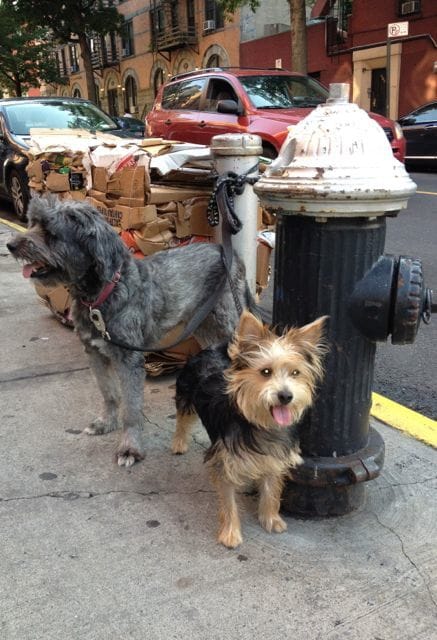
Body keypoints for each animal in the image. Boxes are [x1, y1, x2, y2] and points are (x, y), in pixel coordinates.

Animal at [7, 198, 252, 468]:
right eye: (32, 222)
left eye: (51, 233)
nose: (11, 245)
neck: (101, 297)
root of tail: (228, 253)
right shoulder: (94, 352)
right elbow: (109, 393)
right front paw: (106, 422)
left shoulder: (129, 360)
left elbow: (132, 409)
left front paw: (129, 448)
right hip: (204, 325)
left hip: (228, 320)